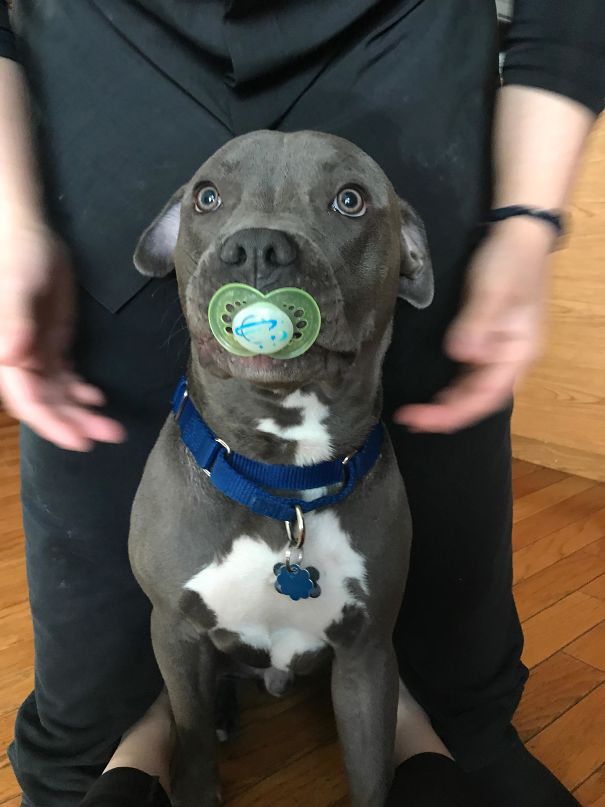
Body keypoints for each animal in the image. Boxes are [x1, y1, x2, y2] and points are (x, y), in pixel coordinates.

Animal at [131, 129, 434, 804]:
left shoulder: (367, 654)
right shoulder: (174, 632)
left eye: (350, 199)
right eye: (207, 196)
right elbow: (191, 743)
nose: (256, 249)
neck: (281, 480)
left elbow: (370, 773)